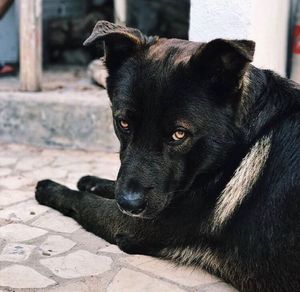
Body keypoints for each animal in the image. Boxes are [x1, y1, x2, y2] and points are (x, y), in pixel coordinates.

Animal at [37, 21, 300, 292]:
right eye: (123, 123)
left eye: (179, 134)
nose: (129, 203)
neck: (238, 147)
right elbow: (109, 187)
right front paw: (91, 181)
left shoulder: (134, 225)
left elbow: (83, 200)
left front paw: (50, 188)